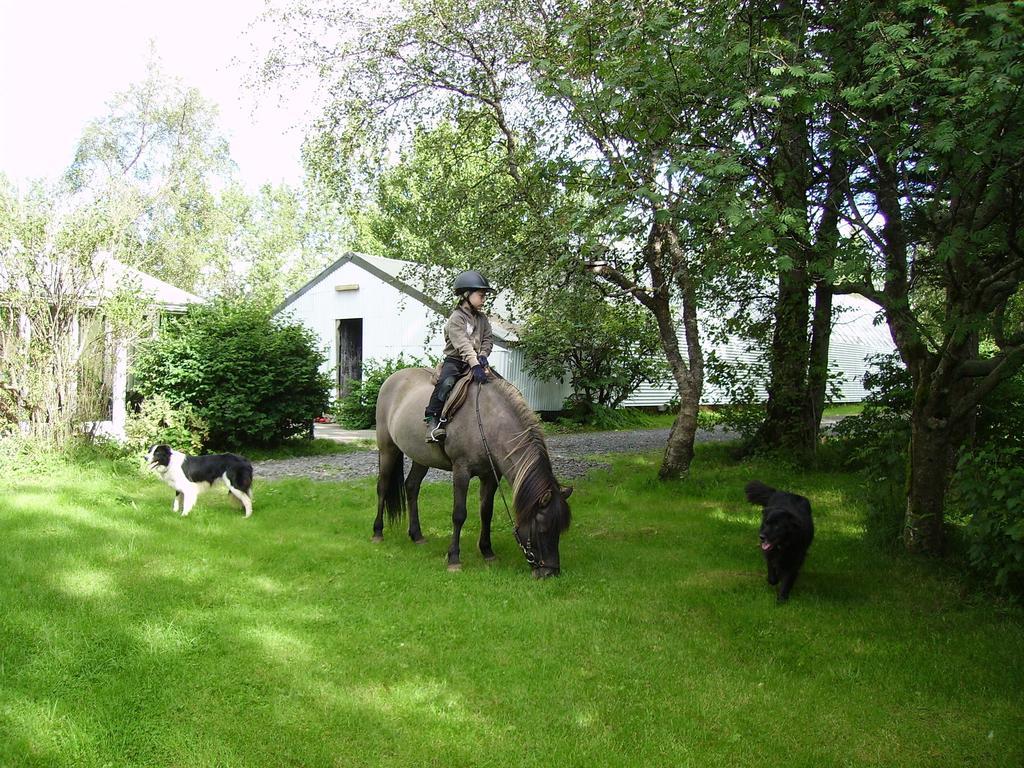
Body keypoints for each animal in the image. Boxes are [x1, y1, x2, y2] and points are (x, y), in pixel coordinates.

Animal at [374, 366, 573, 577]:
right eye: (542, 529)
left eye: (560, 529)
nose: (551, 572)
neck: (487, 421)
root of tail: (392, 378)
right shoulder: (461, 470)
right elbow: (459, 514)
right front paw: (454, 558)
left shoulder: (491, 476)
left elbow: (486, 512)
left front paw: (487, 551)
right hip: (387, 449)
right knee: (383, 487)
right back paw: (377, 532)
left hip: (421, 456)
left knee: (412, 487)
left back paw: (417, 535)